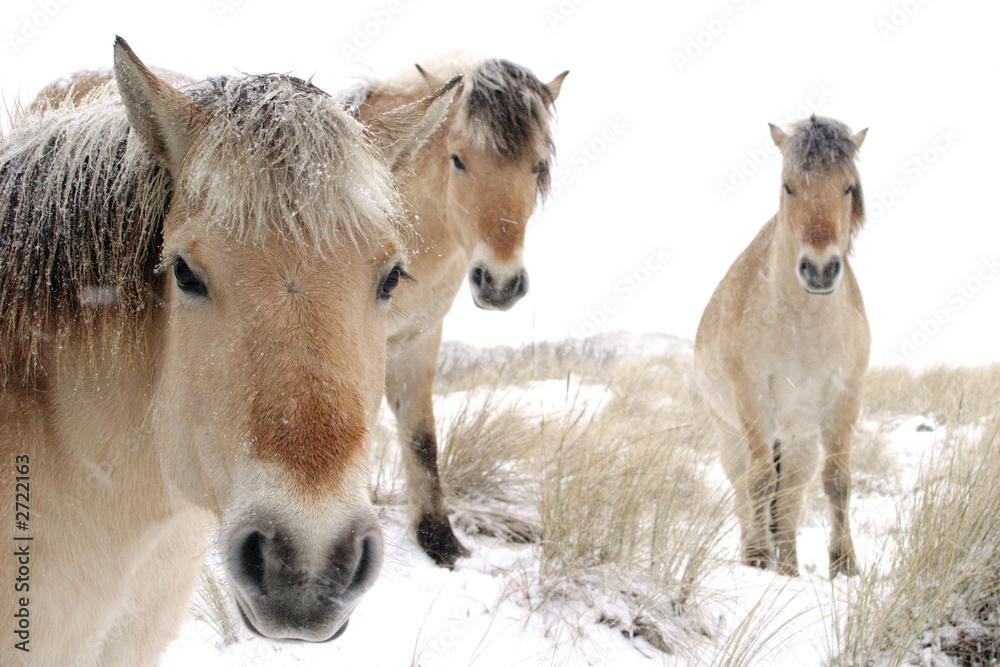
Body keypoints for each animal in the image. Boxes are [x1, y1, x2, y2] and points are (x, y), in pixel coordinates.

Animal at [345, 53, 568, 566]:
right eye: (458, 159)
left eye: (536, 166)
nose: (501, 283)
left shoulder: (418, 340)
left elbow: (422, 439)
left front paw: (440, 540)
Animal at [693, 115, 870, 578]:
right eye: (789, 186)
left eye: (848, 187)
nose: (820, 270)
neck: (801, 325)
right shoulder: (753, 396)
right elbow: (758, 482)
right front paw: (757, 559)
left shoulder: (844, 398)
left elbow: (838, 481)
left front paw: (845, 565)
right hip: (731, 435)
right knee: (744, 487)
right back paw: (758, 554)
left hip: (798, 439)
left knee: (790, 495)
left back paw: (788, 567)